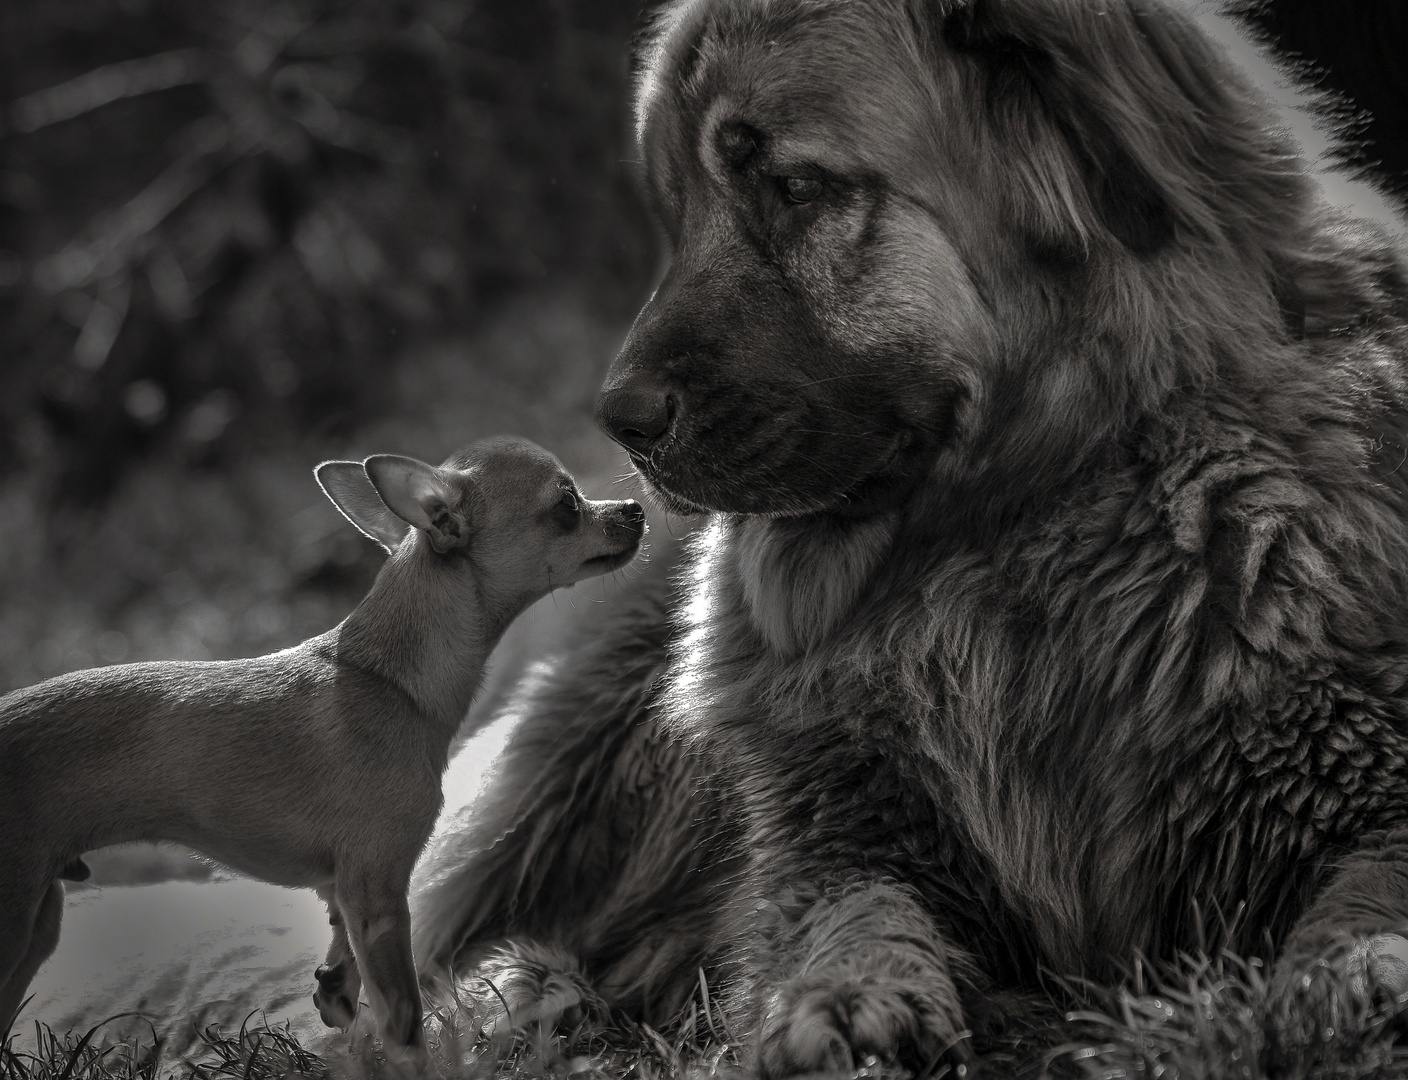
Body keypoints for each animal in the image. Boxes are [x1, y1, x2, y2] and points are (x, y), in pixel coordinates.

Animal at [411, 0, 1408, 1075]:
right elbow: (850, 908)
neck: (1018, 533)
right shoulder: (836, 828)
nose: (618, 421)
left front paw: (1359, 974)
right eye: (682, 210)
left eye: (797, 189)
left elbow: (1374, 881)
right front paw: (846, 1005)